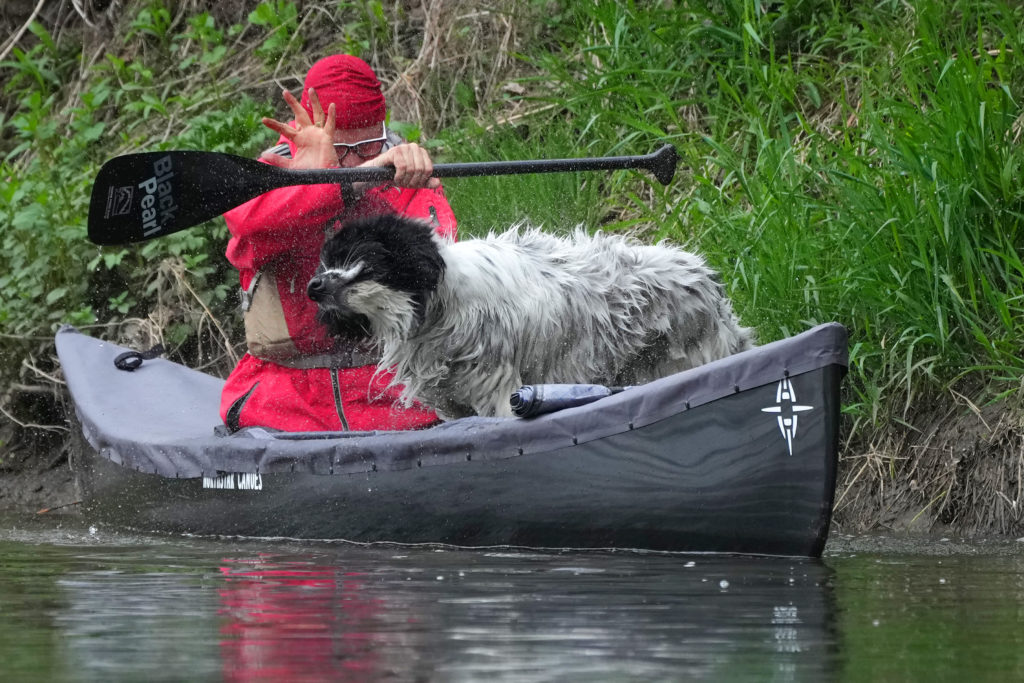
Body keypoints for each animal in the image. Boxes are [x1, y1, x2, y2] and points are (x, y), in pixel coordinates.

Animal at [303, 214, 753, 419]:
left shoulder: (499, 392)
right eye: (326, 262)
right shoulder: (452, 404)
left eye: (363, 260)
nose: (314, 286)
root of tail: (704, 275)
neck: (438, 311)